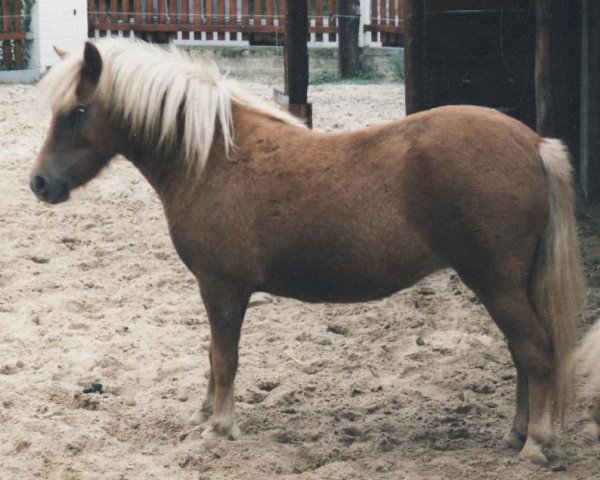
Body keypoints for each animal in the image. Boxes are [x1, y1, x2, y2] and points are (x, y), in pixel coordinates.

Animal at [30, 39, 584, 464]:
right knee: (521, 352)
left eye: (78, 111)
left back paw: (536, 444)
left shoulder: (222, 288)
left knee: (535, 350)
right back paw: (517, 434)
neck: (210, 157)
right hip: (509, 285)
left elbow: (224, 356)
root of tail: (534, 143)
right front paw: (206, 415)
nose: (40, 183)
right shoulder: (217, 290)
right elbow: (212, 355)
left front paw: (219, 427)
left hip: (495, 282)